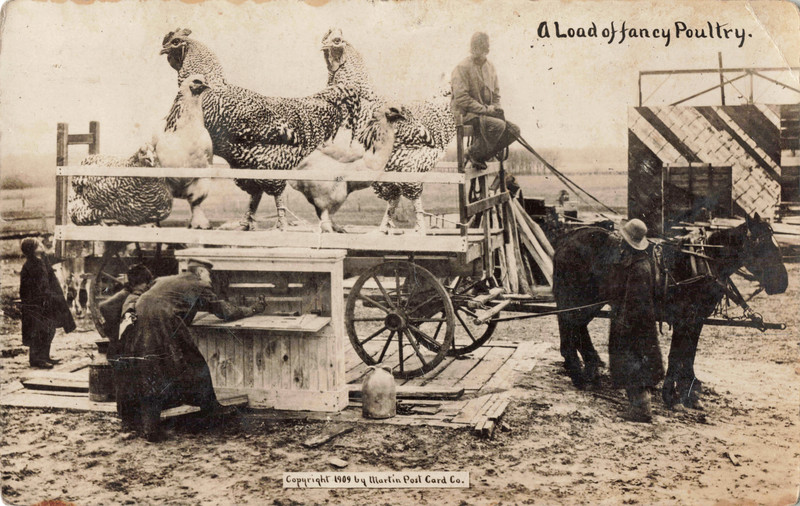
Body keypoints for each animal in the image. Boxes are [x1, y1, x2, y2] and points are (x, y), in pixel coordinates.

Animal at [552, 213, 788, 408]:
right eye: (764, 245)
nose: (782, 283)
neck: (701, 263)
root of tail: (566, 238)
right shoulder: (686, 319)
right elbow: (677, 355)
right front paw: (672, 396)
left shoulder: (696, 320)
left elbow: (687, 355)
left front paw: (688, 393)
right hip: (579, 299)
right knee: (570, 326)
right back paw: (578, 372)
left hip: (589, 302)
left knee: (578, 328)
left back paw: (590, 370)